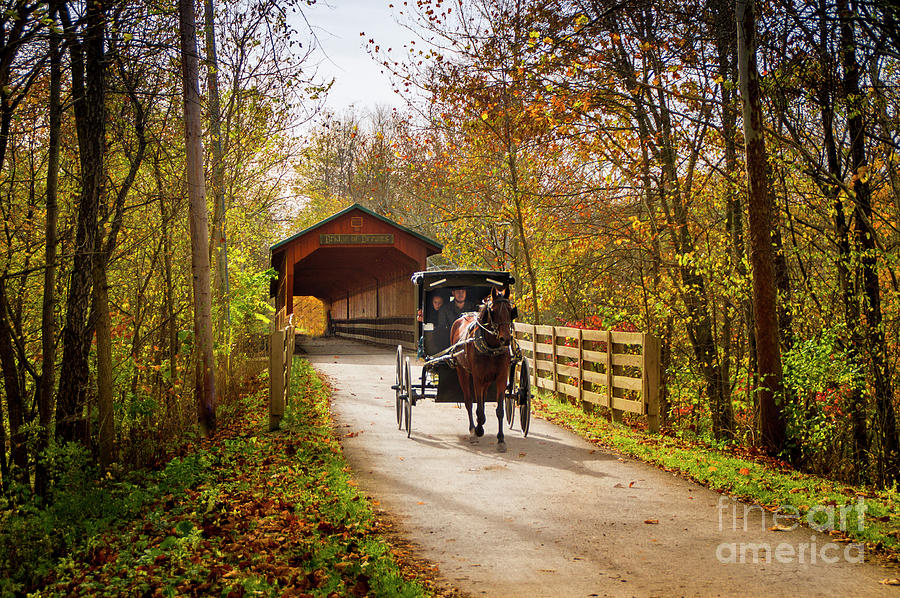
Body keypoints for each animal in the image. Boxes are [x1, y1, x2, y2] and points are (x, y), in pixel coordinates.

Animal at [450, 288, 512, 452]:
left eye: (510, 310)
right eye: (493, 311)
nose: (506, 339)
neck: (491, 347)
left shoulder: (501, 377)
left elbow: (499, 410)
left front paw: (501, 439)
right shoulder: (477, 377)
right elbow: (477, 408)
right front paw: (478, 430)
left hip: (486, 379)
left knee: (481, 401)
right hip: (463, 372)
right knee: (469, 401)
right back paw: (473, 430)